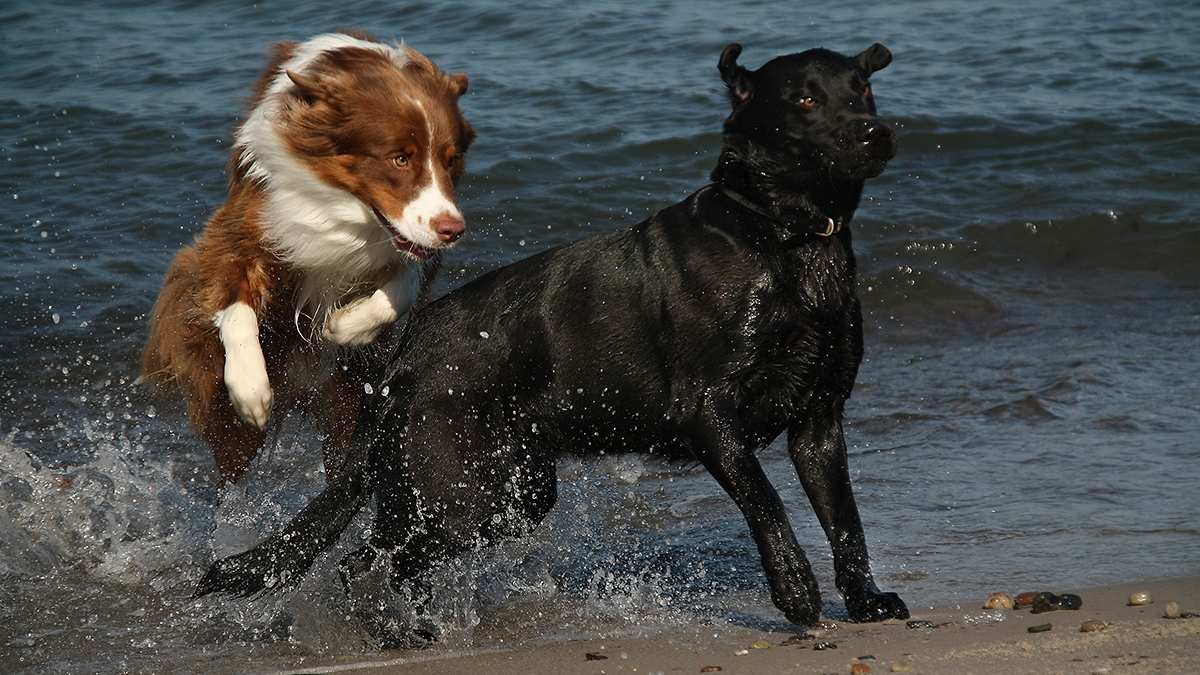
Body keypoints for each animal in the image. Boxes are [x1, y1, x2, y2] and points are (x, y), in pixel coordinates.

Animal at [142, 32, 475, 482]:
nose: (453, 230)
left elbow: (402, 287)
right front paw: (250, 386)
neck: (344, 205)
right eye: (400, 158)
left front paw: (347, 326)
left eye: (451, 159)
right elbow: (236, 303)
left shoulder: (417, 250)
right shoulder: (243, 229)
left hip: (347, 397)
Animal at [196, 42, 907, 629]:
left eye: (863, 92)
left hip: (503, 494)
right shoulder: (710, 415)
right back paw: (395, 631)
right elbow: (767, 503)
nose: (877, 133)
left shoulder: (820, 423)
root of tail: (402, 359)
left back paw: (411, 627)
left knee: (388, 560)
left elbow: (845, 521)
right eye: (806, 100)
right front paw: (796, 593)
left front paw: (866, 603)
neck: (781, 236)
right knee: (366, 562)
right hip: (459, 490)